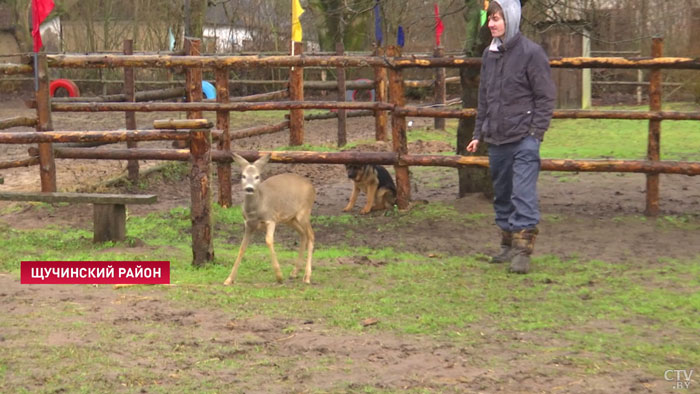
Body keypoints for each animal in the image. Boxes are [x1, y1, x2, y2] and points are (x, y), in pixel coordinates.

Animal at [223, 152, 316, 284]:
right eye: (243, 176)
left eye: (257, 176)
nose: (249, 188)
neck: (257, 208)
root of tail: (312, 187)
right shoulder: (248, 224)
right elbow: (242, 248)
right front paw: (229, 279)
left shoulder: (271, 219)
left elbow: (268, 240)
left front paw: (279, 276)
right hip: (290, 218)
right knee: (303, 234)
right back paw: (294, 272)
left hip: (304, 212)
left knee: (311, 235)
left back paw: (307, 276)